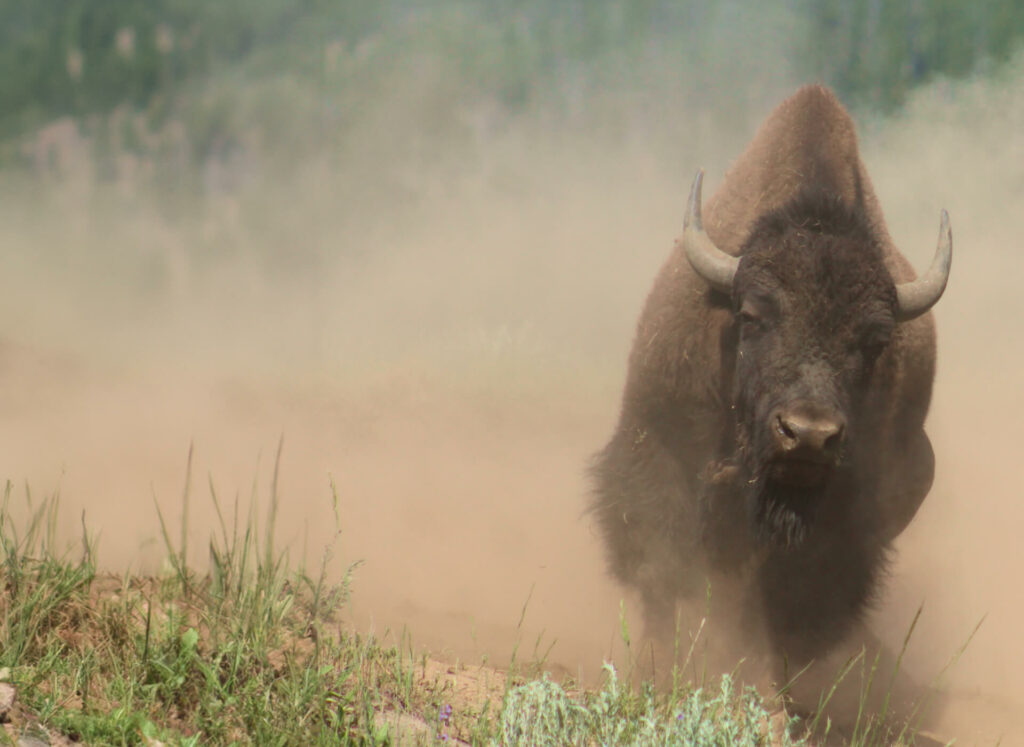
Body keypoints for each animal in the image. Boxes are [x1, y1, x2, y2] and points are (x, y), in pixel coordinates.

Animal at [593, 86, 950, 676]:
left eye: (875, 341)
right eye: (753, 315)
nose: (808, 434)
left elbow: (795, 596)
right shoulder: (657, 445)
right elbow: (662, 567)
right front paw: (662, 664)